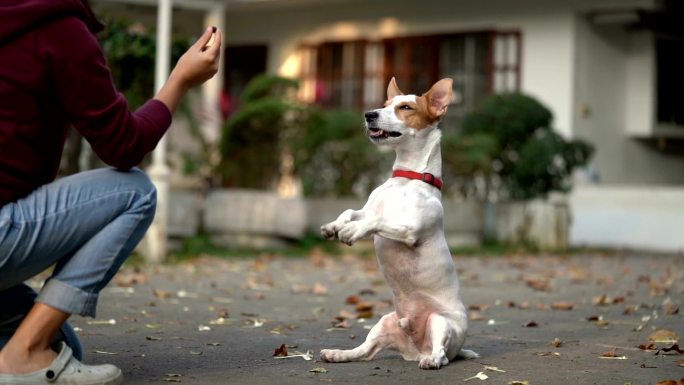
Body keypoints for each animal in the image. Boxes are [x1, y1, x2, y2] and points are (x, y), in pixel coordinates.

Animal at [320, 76, 476, 368]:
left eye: (405, 107)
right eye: (384, 104)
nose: (369, 114)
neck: (407, 177)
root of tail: (416, 350)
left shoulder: (410, 228)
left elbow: (378, 221)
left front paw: (352, 231)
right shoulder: (367, 209)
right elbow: (351, 210)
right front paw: (334, 226)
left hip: (440, 322)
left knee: (441, 353)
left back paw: (432, 360)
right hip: (385, 322)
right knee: (365, 351)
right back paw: (338, 354)